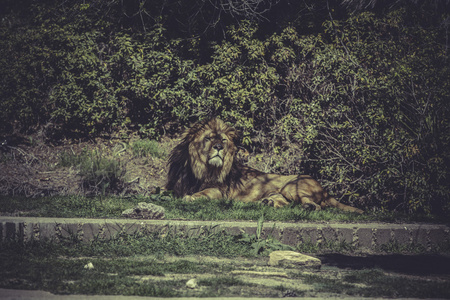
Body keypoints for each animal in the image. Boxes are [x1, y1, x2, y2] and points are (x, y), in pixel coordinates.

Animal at [167, 117, 364, 213]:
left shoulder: (220, 191)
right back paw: (267, 202)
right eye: (208, 138)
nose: (218, 148)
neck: (200, 169)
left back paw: (307, 207)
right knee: (285, 204)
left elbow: (204, 193)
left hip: (293, 186)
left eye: (223, 140)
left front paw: (190, 197)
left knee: (318, 206)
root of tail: (326, 190)